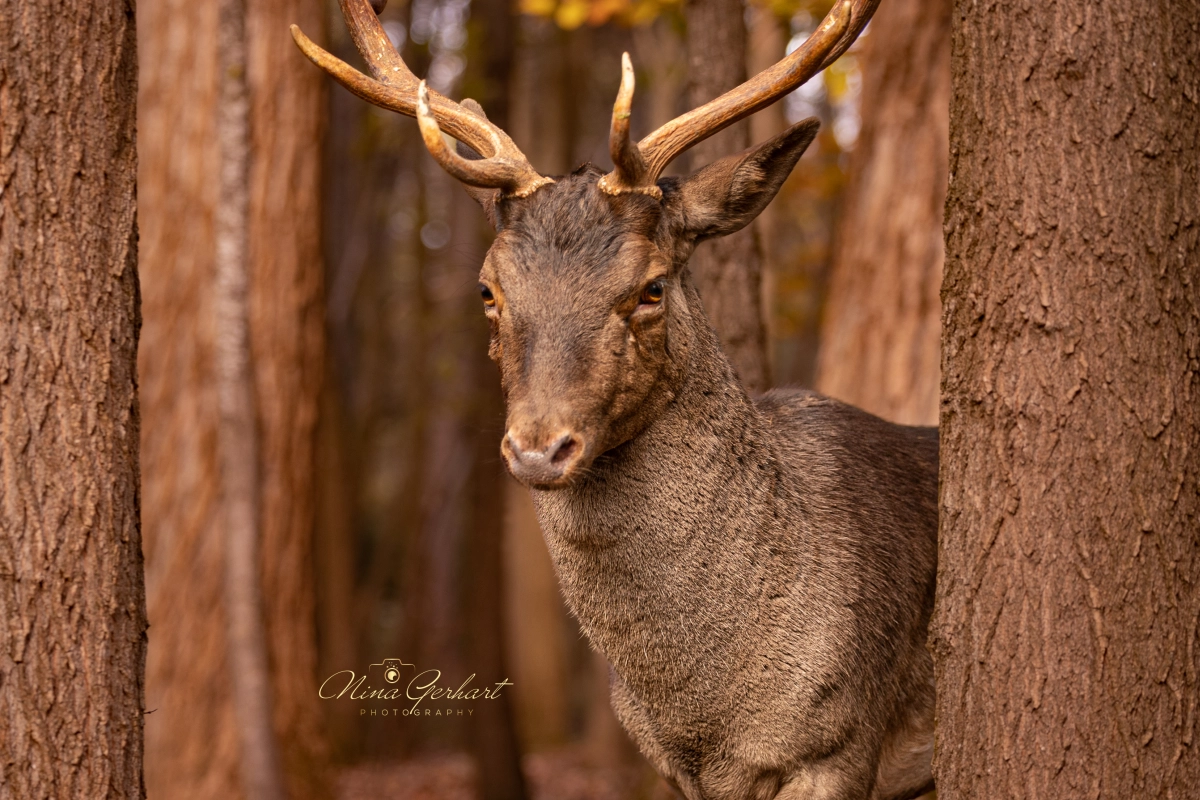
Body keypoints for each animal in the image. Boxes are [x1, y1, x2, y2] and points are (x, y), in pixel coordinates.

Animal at [290, 3, 936, 796]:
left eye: (652, 287)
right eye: (487, 291)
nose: (539, 448)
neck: (711, 723)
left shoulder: (842, 740)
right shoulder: (672, 768)